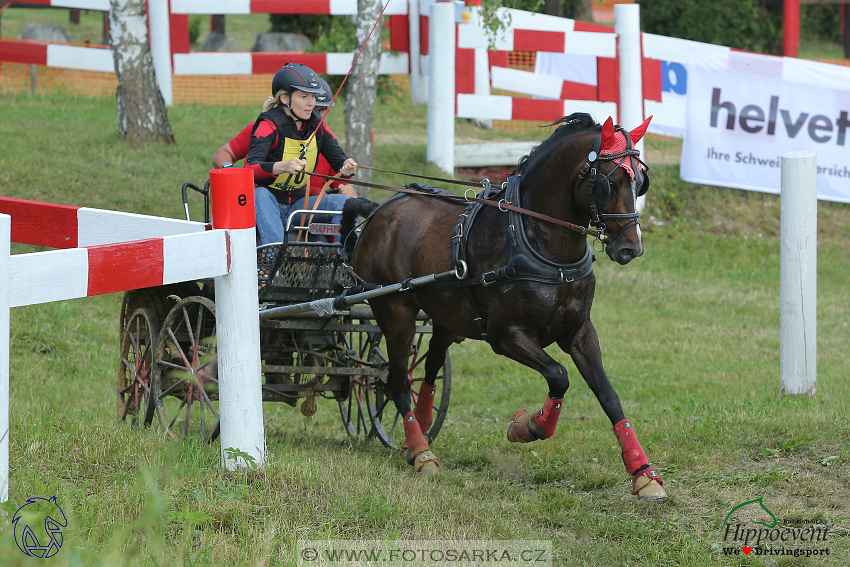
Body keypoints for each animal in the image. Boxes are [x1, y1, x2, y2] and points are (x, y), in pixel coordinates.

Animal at [350, 113, 664, 500]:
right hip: (396, 313)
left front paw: (643, 473)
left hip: (446, 318)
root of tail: (383, 210)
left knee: (429, 371)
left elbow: (608, 395)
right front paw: (528, 426)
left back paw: (416, 439)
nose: (631, 248)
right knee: (396, 381)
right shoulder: (506, 336)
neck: (537, 241)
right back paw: (422, 452)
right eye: (610, 182)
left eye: (640, 182)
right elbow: (558, 375)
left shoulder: (580, 332)